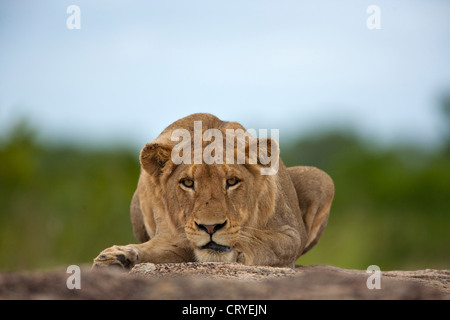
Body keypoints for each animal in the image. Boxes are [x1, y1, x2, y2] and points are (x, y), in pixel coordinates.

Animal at [93, 114, 334, 268]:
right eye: (187, 183)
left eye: (232, 181)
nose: (210, 227)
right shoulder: (172, 236)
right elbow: (157, 249)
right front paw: (118, 256)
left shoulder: (291, 234)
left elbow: (263, 243)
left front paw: (238, 252)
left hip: (322, 179)